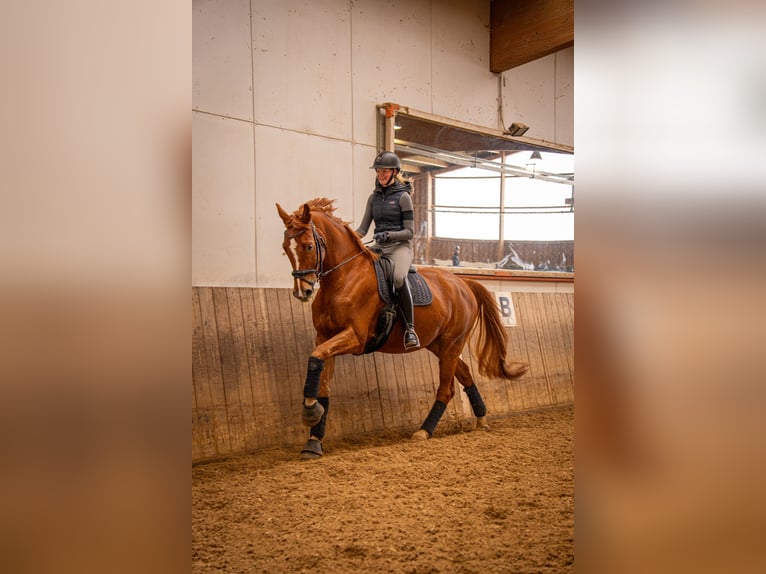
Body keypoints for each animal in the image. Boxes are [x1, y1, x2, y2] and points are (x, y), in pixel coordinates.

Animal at [276, 197, 529, 459]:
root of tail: (463, 282)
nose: (302, 292)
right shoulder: (324, 337)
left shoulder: (355, 338)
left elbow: (315, 358)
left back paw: (424, 431)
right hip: (439, 345)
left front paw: (309, 412)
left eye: (308, 246)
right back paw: (481, 420)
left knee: (446, 389)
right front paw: (314, 440)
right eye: (286, 247)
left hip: (452, 344)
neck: (344, 278)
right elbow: (322, 381)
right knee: (465, 374)